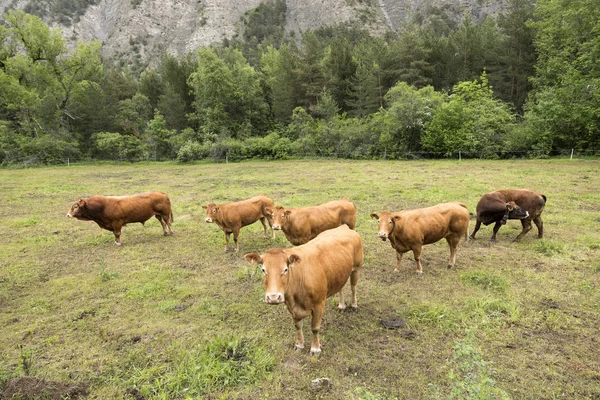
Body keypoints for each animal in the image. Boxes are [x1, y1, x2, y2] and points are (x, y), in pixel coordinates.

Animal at [243, 225, 360, 356]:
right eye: (263, 270)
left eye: (285, 269)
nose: (273, 297)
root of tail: (344, 227)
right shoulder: (291, 307)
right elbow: (298, 326)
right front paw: (299, 345)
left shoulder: (319, 304)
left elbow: (315, 328)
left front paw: (315, 349)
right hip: (340, 273)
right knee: (341, 288)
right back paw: (341, 306)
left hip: (356, 268)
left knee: (353, 287)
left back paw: (354, 305)